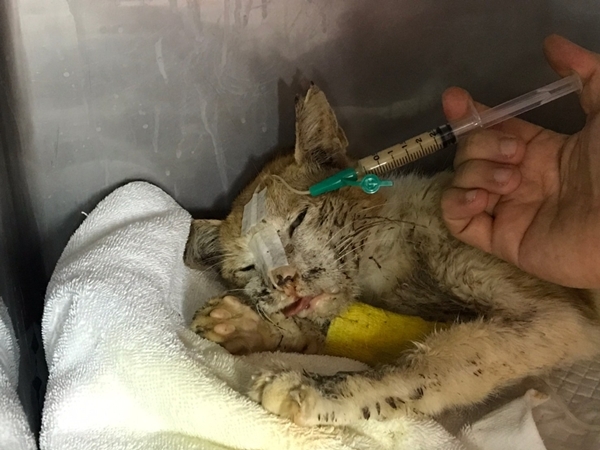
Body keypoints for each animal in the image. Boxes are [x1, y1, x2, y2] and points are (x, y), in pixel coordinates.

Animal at [184, 84, 600, 426]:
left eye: (297, 222)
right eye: (248, 268)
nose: (282, 279)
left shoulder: (557, 318)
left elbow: (428, 366)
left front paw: (314, 391)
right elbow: (338, 335)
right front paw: (243, 325)